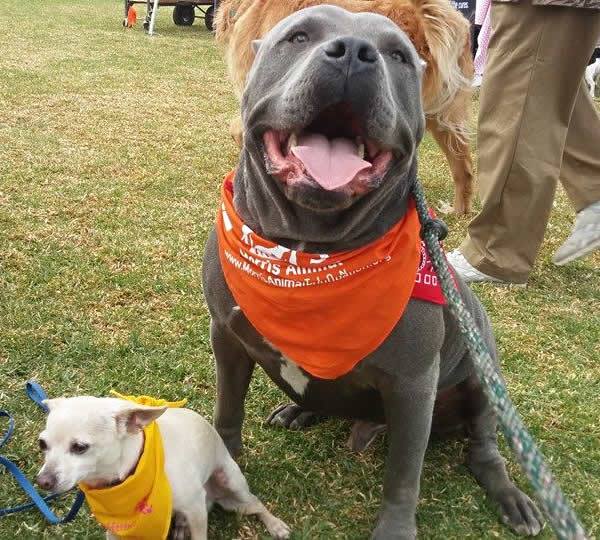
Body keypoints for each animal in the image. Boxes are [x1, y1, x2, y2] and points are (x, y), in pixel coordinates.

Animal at [36, 396, 290, 540]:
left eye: (80, 447)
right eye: (42, 444)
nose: (42, 481)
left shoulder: (196, 509)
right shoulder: (117, 530)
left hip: (232, 489)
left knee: (256, 503)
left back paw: (276, 525)